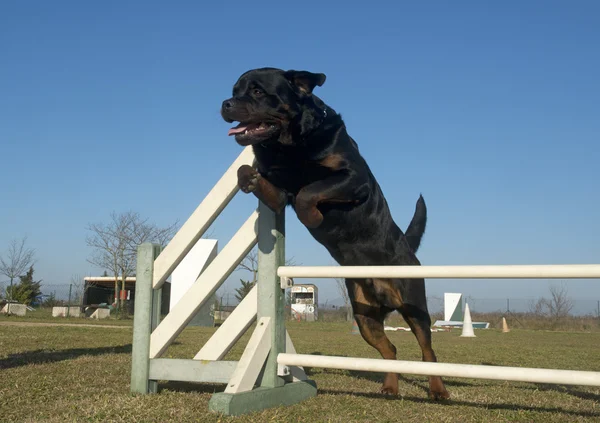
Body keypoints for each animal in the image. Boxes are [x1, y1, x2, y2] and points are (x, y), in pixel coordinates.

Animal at [221, 67, 450, 400]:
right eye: (234, 90)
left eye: (258, 91)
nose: (225, 104)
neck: (289, 144)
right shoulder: (278, 194)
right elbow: (251, 175)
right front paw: (248, 178)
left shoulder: (352, 178)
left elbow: (309, 192)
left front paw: (314, 216)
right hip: (365, 318)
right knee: (390, 350)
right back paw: (390, 387)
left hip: (413, 303)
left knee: (427, 351)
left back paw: (438, 389)